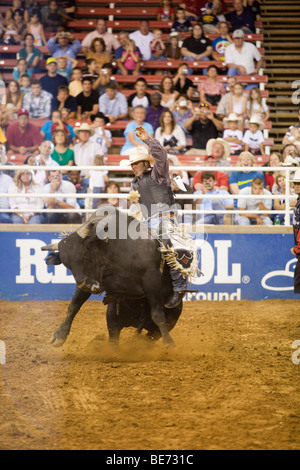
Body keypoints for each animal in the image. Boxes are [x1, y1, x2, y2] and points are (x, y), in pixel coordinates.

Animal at [42, 208, 183, 346]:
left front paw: (169, 343)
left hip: (167, 321)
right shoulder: (90, 280)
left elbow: (157, 314)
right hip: (113, 319)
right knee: (115, 337)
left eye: (85, 255)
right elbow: (73, 306)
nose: (85, 285)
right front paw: (59, 335)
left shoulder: (151, 279)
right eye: (67, 265)